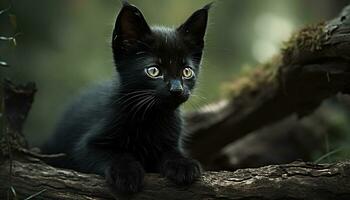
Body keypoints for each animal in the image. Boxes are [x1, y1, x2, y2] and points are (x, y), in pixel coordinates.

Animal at [41, 0, 211, 194]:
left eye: (186, 72)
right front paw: (126, 173)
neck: (150, 119)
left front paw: (183, 164)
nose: (177, 89)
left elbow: (171, 152)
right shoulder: (84, 147)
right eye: (154, 71)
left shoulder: (172, 142)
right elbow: (115, 154)